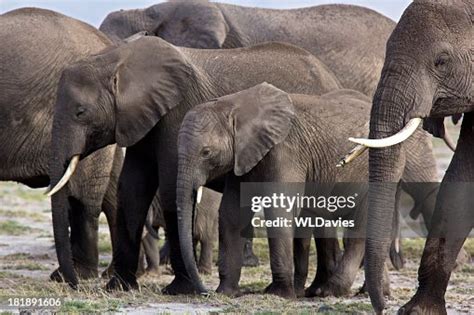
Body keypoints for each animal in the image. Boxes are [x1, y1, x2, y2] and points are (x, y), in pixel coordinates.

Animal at [46, 37, 342, 296]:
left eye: (80, 112)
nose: (72, 283)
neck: (117, 57)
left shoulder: (177, 112)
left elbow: (170, 189)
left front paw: (179, 289)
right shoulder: (140, 120)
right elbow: (131, 191)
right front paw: (119, 286)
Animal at [176, 83, 442, 298]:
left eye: (206, 152)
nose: (205, 292)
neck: (234, 105)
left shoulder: (285, 152)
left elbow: (279, 212)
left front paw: (279, 294)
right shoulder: (242, 159)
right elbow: (231, 214)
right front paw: (226, 292)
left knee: (359, 230)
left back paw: (331, 291)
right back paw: (362, 292)